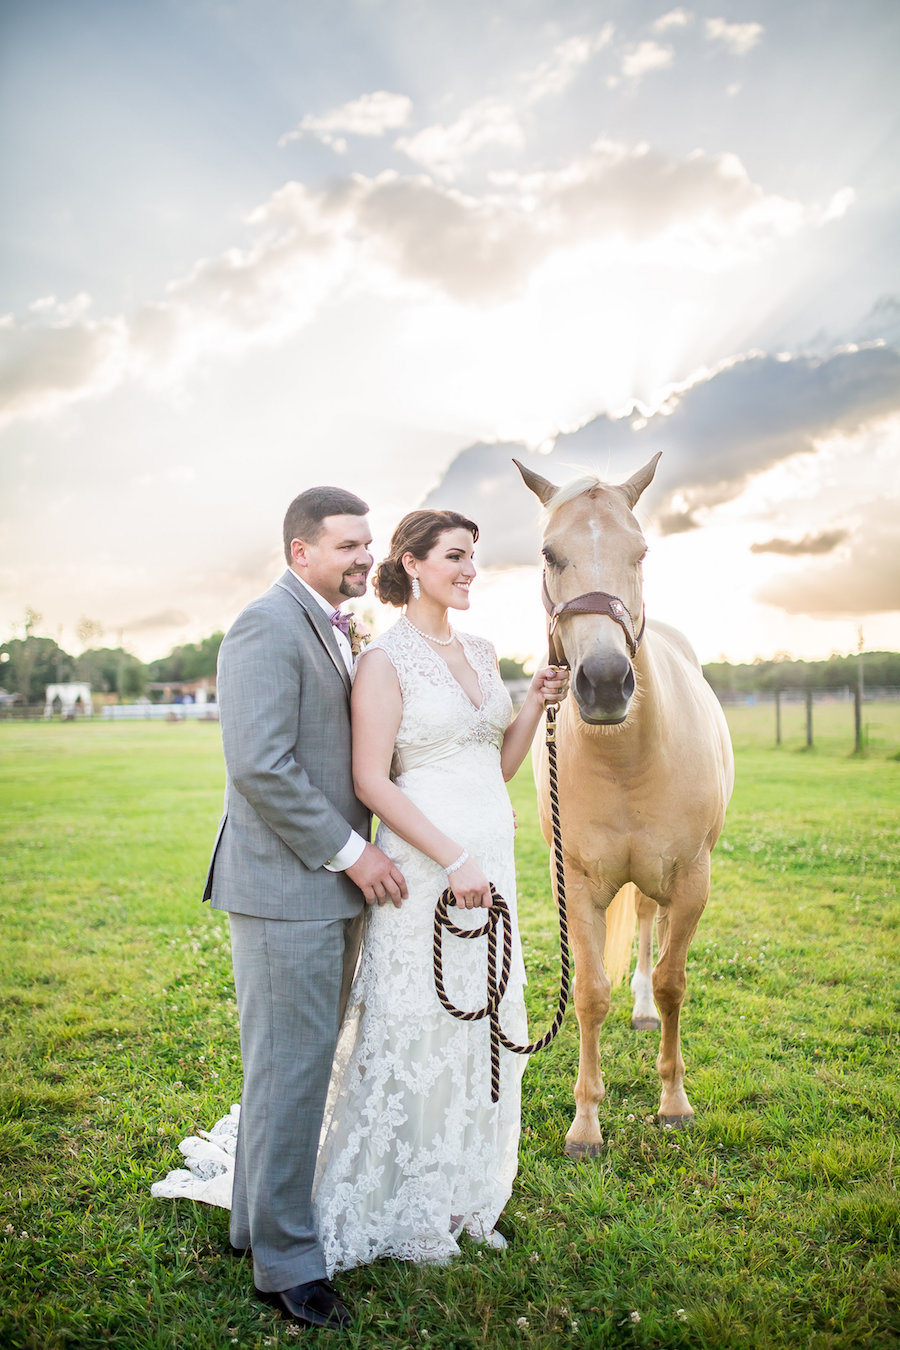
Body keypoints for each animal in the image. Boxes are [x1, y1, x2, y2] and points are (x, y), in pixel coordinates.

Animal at [518, 456, 734, 1161]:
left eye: (640, 552)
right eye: (549, 554)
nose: (607, 682)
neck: (628, 756)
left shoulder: (692, 879)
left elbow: (672, 983)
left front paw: (674, 1104)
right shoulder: (577, 884)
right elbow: (588, 995)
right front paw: (586, 1124)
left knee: (648, 930)